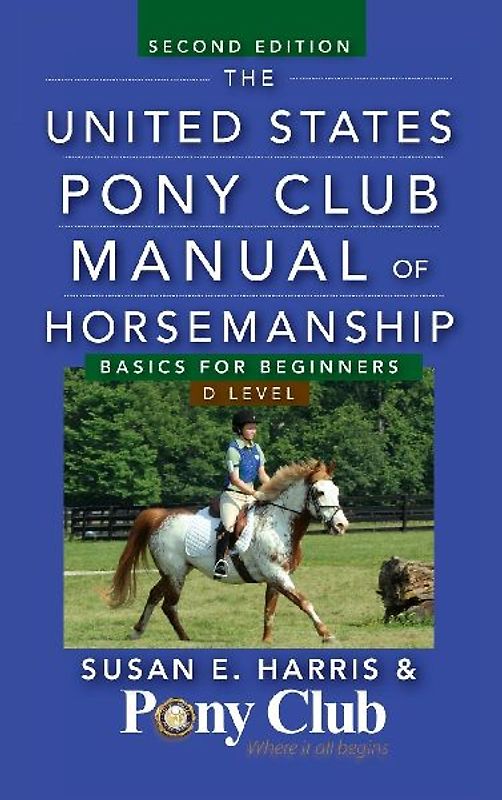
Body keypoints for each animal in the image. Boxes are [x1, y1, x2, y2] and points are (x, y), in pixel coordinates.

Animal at [108, 459, 349, 644]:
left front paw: (266, 640)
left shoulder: (276, 578)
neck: (277, 522)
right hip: (175, 573)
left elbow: (269, 610)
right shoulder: (277, 575)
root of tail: (160, 516)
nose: (341, 525)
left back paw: (138, 631)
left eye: (336, 491)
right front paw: (326, 634)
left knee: (155, 596)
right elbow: (304, 602)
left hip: (176, 571)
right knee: (169, 605)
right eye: (319, 492)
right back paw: (185, 638)